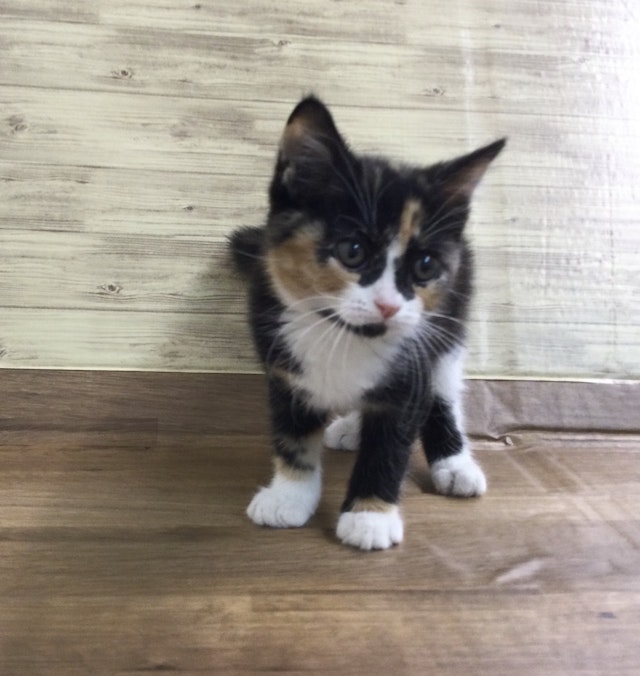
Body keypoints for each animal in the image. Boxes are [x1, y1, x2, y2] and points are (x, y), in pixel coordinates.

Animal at [229, 96, 505, 550]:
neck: (341, 333)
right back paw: (352, 428)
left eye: (425, 266)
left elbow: (391, 443)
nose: (389, 306)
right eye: (353, 251)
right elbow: (292, 436)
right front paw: (290, 495)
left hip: (450, 321)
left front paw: (369, 516)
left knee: (443, 390)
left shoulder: (415, 364)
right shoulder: (282, 366)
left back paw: (454, 462)